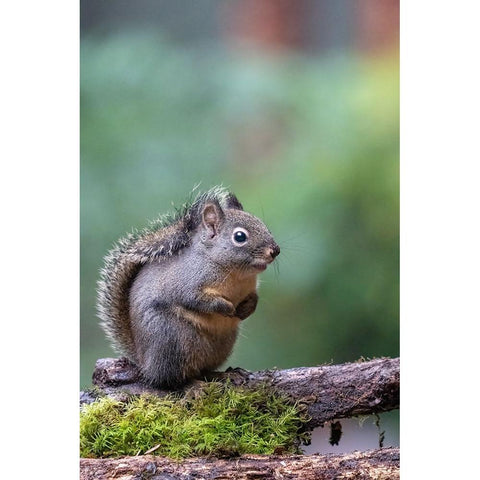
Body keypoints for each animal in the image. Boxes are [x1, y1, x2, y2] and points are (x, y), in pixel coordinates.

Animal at [96, 186, 280, 388]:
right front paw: (226, 307)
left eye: (264, 225)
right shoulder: (186, 283)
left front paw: (247, 309)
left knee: (202, 370)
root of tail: (145, 363)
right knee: (170, 378)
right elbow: (194, 299)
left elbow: (254, 298)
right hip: (173, 338)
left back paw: (224, 374)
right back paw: (193, 386)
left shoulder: (250, 288)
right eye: (240, 237)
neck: (234, 273)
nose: (275, 250)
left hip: (221, 345)